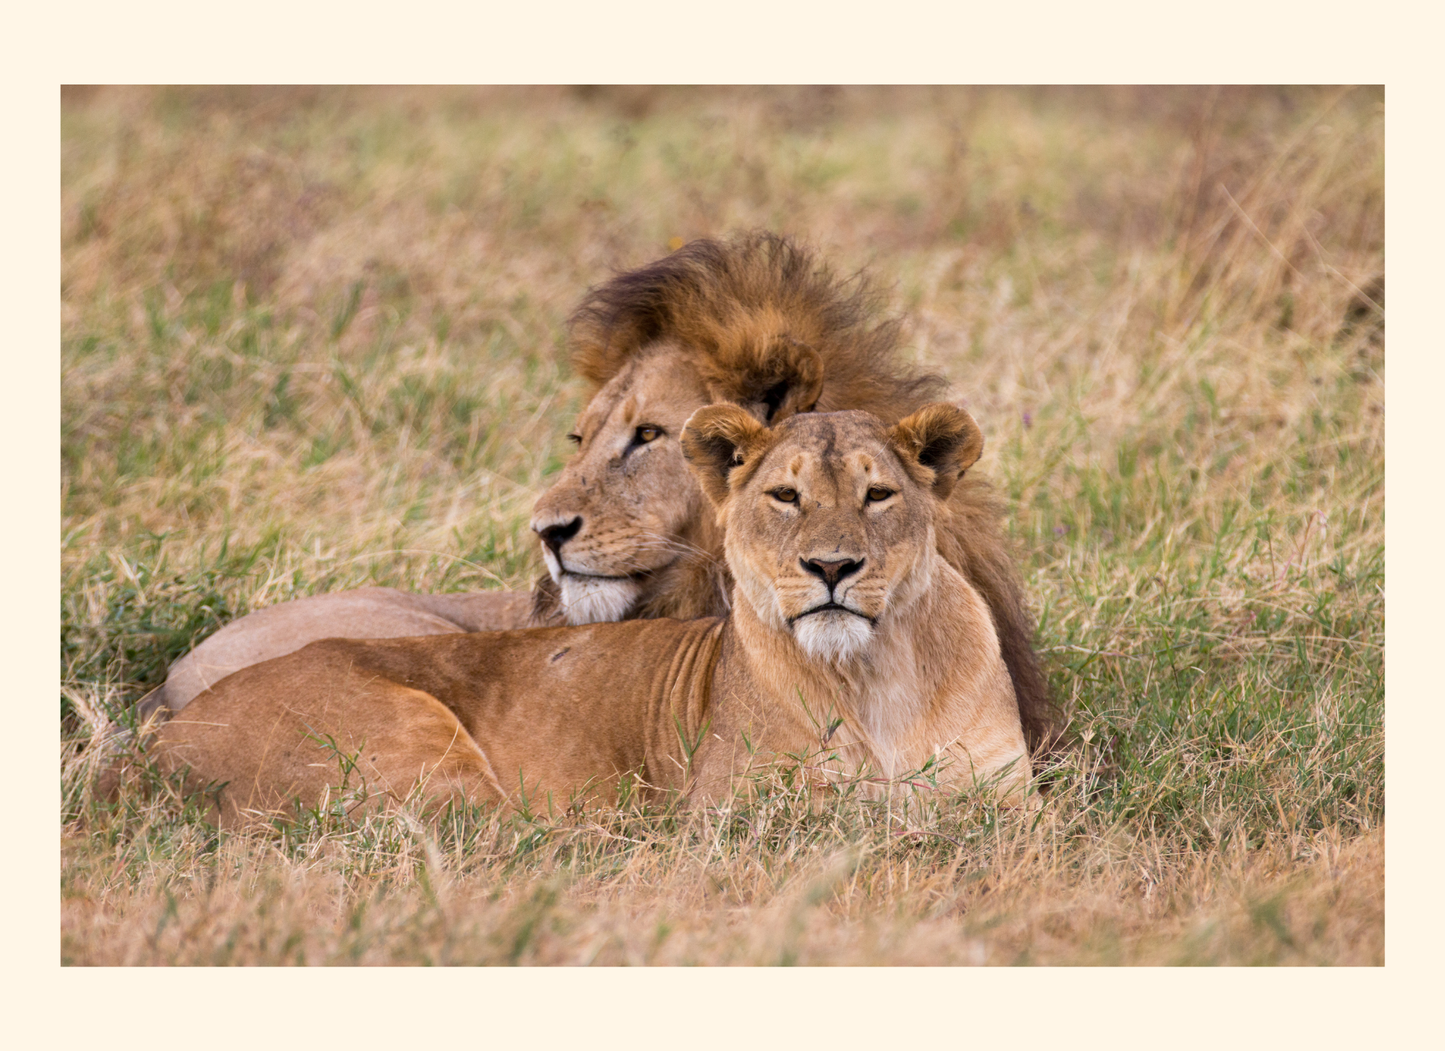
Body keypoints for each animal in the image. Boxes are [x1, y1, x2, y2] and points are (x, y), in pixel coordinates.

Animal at [148, 404, 1029, 826]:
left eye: (878, 494)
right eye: (785, 496)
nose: (833, 567)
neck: (878, 674)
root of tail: (159, 739)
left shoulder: (1012, 800)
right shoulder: (740, 812)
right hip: (411, 748)